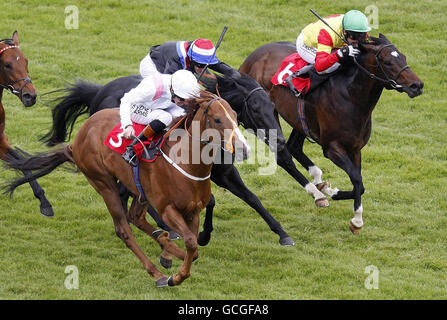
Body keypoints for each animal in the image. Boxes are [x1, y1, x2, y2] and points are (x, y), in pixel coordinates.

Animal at [0, 31, 53, 218]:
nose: (31, 96)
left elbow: (21, 161)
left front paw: (44, 202)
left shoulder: (1, 140)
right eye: (7, 64)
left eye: (26, 61)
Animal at [6, 90, 252, 288]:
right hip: (103, 183)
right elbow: (191, 242)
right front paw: (177, 277)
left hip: (139, 189)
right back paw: (157, 273)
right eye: (217, 119)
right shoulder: (167, 208)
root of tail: (76, 140)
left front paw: (173, 254)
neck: (186, 161)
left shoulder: (193, 210)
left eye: (236, 116)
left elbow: (194, 246)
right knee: (124, 228)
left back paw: (165, 245)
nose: (244, 149)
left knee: (136, 217)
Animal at [240, 34, 426, 232]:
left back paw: (319, 183)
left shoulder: (355, 149)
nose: (417, 85)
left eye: (403, 57)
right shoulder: (332, 149)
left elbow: (359, 183)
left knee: (294, 147)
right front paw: (356, 220)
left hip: (299, 120)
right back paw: (316, 193)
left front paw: (332, 192)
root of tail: (250, 59)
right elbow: (357, 179)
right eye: (387, 62)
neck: (350, 97)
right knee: (283, 155)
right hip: (262, 117)